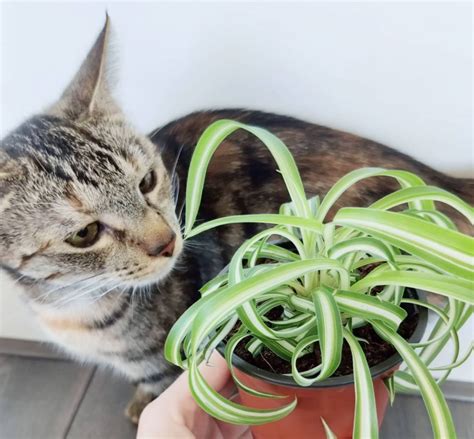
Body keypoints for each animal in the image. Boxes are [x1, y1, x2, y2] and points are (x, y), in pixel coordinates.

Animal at [1, 18, 472, 424]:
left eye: (148, 181)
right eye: (85, 234)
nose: (168, 242)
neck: (68, 306)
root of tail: (439, 186)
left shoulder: (169, 358)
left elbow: (155, 385)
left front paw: (141, 408)